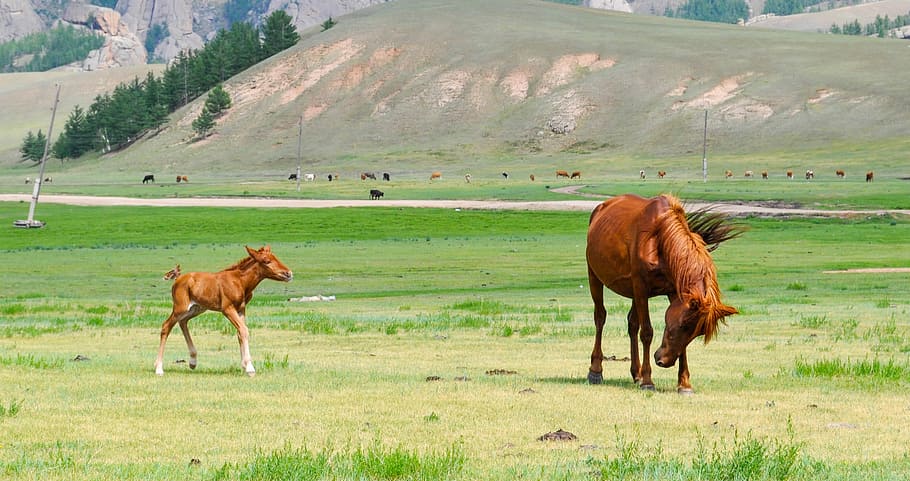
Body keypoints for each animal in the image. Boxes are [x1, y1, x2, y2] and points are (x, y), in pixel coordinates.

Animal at [154, 246, 292, 376]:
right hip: (180, 307)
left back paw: (192, 362)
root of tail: (177, 280)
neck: (240, 282)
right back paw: (159, 368)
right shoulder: (227, 308)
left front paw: (244, 365)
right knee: (166, 326)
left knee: (183, 322)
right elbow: (244, 330)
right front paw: (250, 368)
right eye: (266, 261)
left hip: (196, 308)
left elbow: (240, 332)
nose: (289, 274)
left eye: (276, 257)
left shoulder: (241, 309)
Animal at [592, 193, 740, 392]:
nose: (664, 361)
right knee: (600, 318)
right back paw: (595, 371)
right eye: (683, 325)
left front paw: (684, 384)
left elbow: (680, 345)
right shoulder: (641, 288)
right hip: (595, 277)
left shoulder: (674, 291)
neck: (661, 240)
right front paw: (648, 381)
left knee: (632, 324)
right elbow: (647, 332)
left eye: (697, 332)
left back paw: (636, 373)